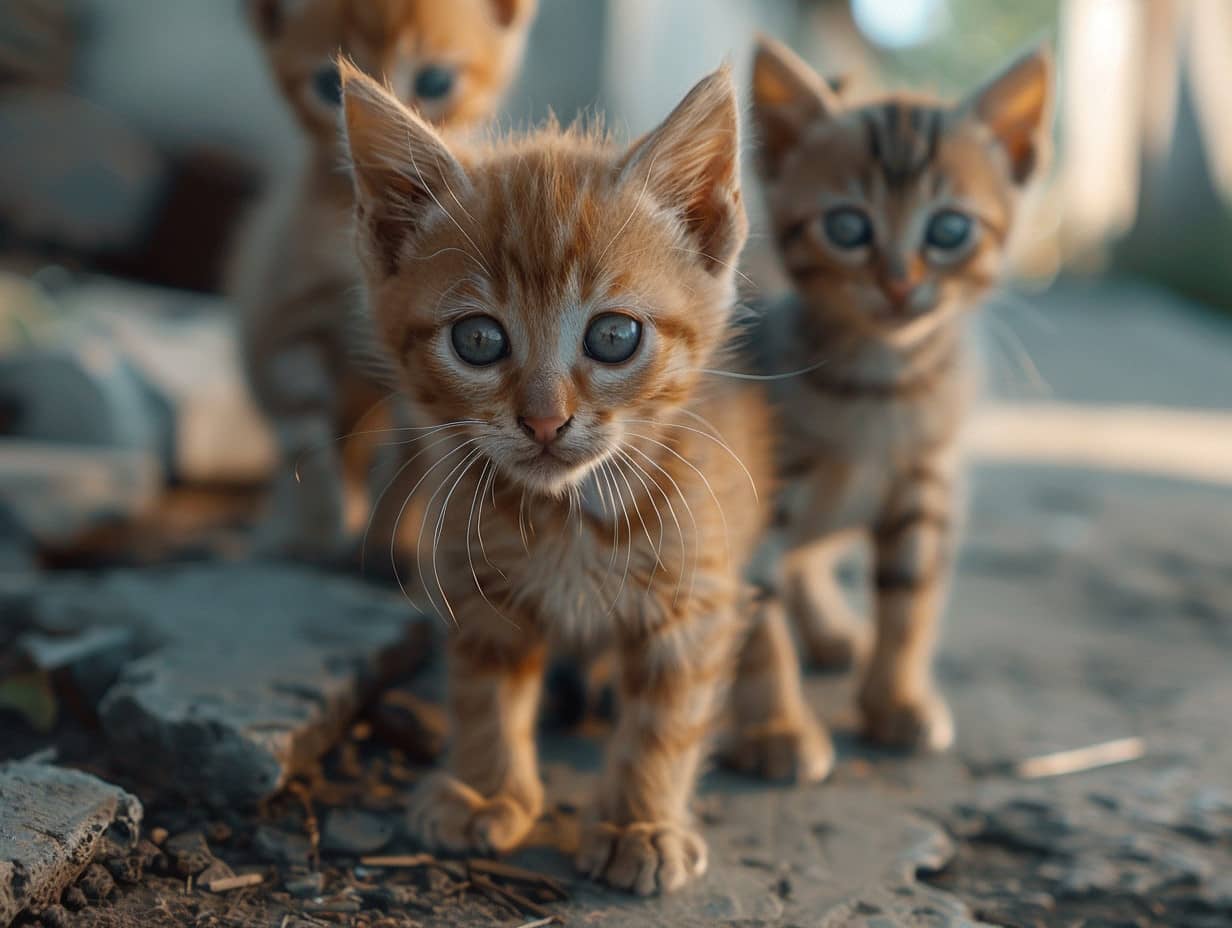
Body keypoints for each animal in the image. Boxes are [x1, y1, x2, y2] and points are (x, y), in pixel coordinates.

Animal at [230, 0, 534, 557]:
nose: (393, 141)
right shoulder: (288, 314)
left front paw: (383, 537)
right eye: (331, 84)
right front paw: (322, 527)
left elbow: (412, 451)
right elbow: (304, 436)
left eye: (435, 81)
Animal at [337, 63, 827, 892]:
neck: (567, 512)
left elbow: (665, 720)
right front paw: (485, 789)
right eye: (477, 340)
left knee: (762, 613)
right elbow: (484, 692)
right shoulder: (478, 584)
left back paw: (777, 724)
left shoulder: (693, 593)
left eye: (614, 335)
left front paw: (639, 822)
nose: (543, 421)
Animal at [744, 36, 1054, 754]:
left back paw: (830, 628)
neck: (878, 387)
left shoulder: (927, 481)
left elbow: (910, 597)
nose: (898, 283)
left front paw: (898, 699)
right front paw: (776, 728)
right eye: (847, 228)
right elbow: (754, 612)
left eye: (948, 231)